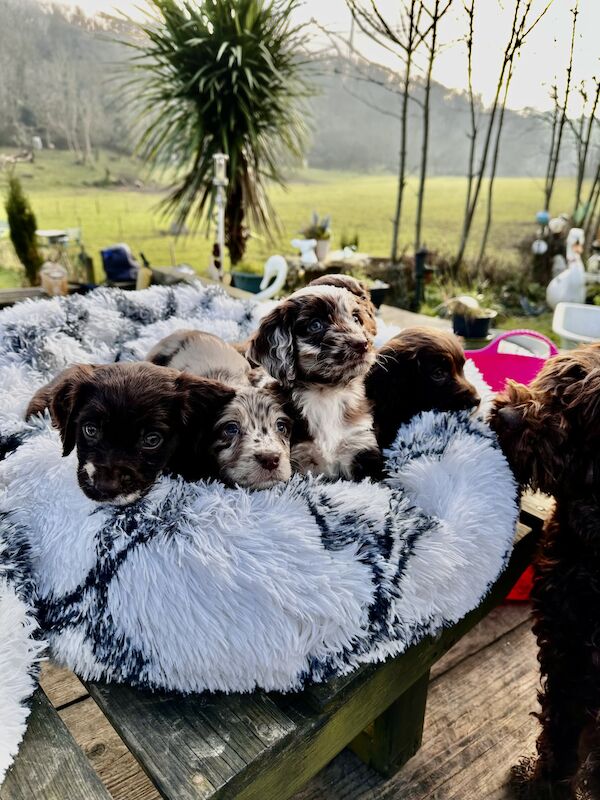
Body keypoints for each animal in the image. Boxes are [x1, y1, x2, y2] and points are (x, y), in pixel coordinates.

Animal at [247, 282, 380, 478]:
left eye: (356, 319)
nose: (362, 343)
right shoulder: (299, 458)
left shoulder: (361, 443)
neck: (327, 394)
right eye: (315, 325)